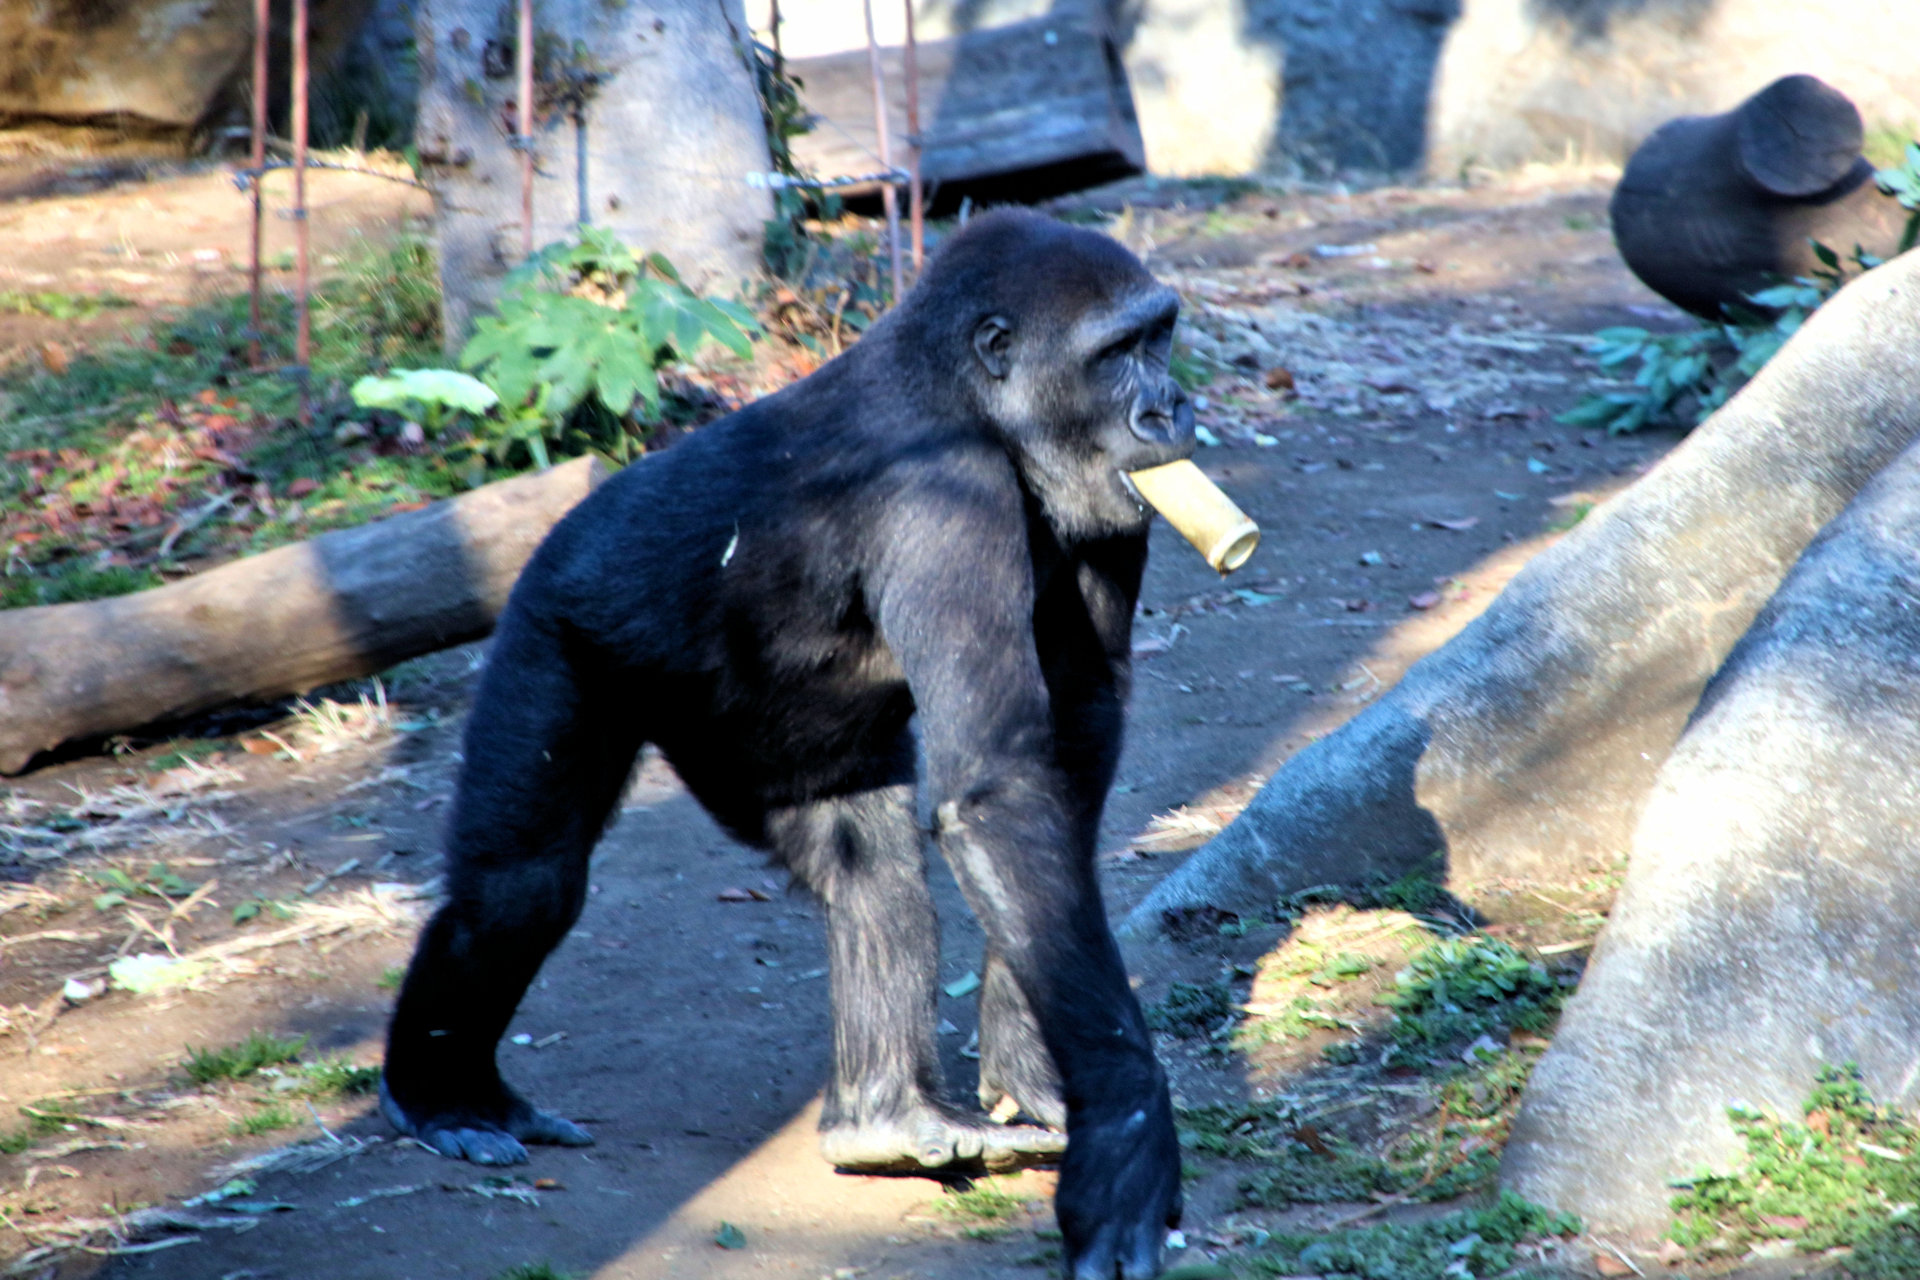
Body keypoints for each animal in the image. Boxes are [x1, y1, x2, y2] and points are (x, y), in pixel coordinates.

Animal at [384, 210, 1190, 1280]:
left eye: (1162, 336)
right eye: (1117, 352)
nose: (1173, 408)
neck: (973, 404)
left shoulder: (1115, 506)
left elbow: (1068, 745)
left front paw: (1030, 1051)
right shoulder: (944, 495)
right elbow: (1001, 794)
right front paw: (1128, 1137)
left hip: (760, 754)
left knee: (867, 869)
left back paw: (885, 1118)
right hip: (554, 615)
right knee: (521, 888)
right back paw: (444, 1095)